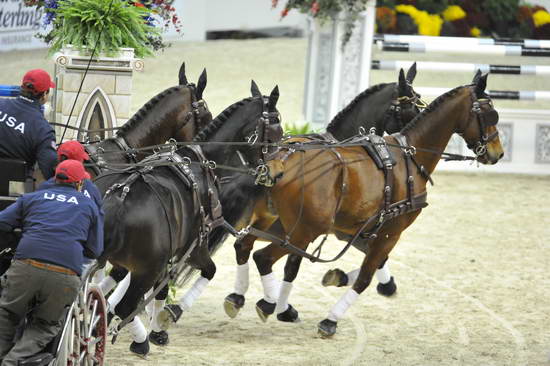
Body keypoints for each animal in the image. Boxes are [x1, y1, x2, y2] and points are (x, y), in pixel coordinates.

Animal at [94, 82, 282, 354]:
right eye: (277, 129)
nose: (277, 174)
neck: (200, 161)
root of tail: (118, 200)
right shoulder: (193, 248)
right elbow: (209, 271)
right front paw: (167, 317)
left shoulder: (161, 257)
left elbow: (156, 292)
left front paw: (157, 327)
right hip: (146, 269)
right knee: (125, 305)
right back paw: (135, 341)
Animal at [250, 72, 504, 338]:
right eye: (490, 114)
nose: (498, 152)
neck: (410, 156)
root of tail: (280, 159)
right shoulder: (390, 232)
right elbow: (365, 276)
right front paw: (330, 319)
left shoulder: (359, 229)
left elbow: (363, 268)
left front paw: (338, 278)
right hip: (304, 230)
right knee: (261, 257)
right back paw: (266, 302)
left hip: (280, 224)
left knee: (247, 245)